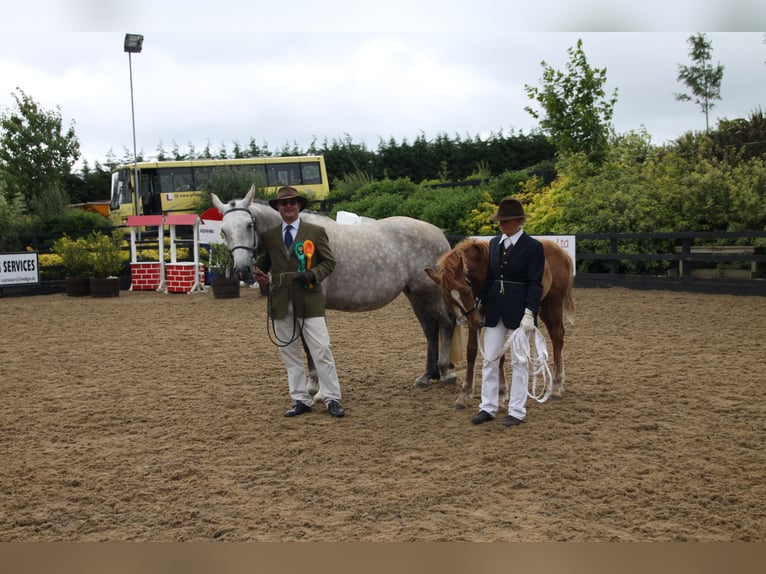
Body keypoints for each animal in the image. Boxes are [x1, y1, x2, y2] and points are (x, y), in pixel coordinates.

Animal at [211, 188, 458, 393]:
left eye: (249, 225)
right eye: (223, 231)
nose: (242, 270)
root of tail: (438, 232)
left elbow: (311, 346)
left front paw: (317, 388)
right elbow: (306, 346)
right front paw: (312, 386)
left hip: (429, 291)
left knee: (447, 323)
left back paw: (445, 372)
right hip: (414, 293)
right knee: (430, 328)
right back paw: (426, 376)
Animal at [425, 237, 574, 410]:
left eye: (466, 291)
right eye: (449, 299)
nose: (478, 322)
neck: (484, 273)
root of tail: (562, 252)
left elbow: (500, 354)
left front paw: (502, 393)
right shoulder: (476, 318)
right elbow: (471, 351)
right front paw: (464, 395)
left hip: (553, 304)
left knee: (557, 337)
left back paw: (556, 386)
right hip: (542, 307)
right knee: (557, 336)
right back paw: (560, 382)